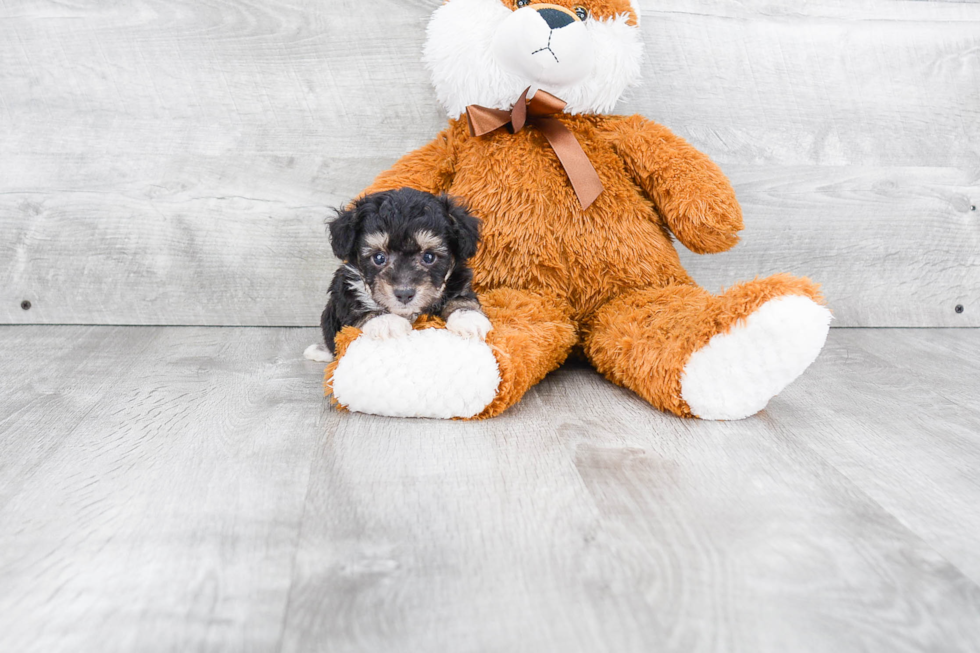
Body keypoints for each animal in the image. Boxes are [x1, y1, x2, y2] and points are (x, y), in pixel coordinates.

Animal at [304, 186, 494, 364]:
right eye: (379, 258)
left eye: (429, 257)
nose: (404, 294)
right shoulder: (345, 288)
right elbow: (356, 306)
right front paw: (386, 322)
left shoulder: (459, 280)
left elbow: (462, 298)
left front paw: (468, 317)